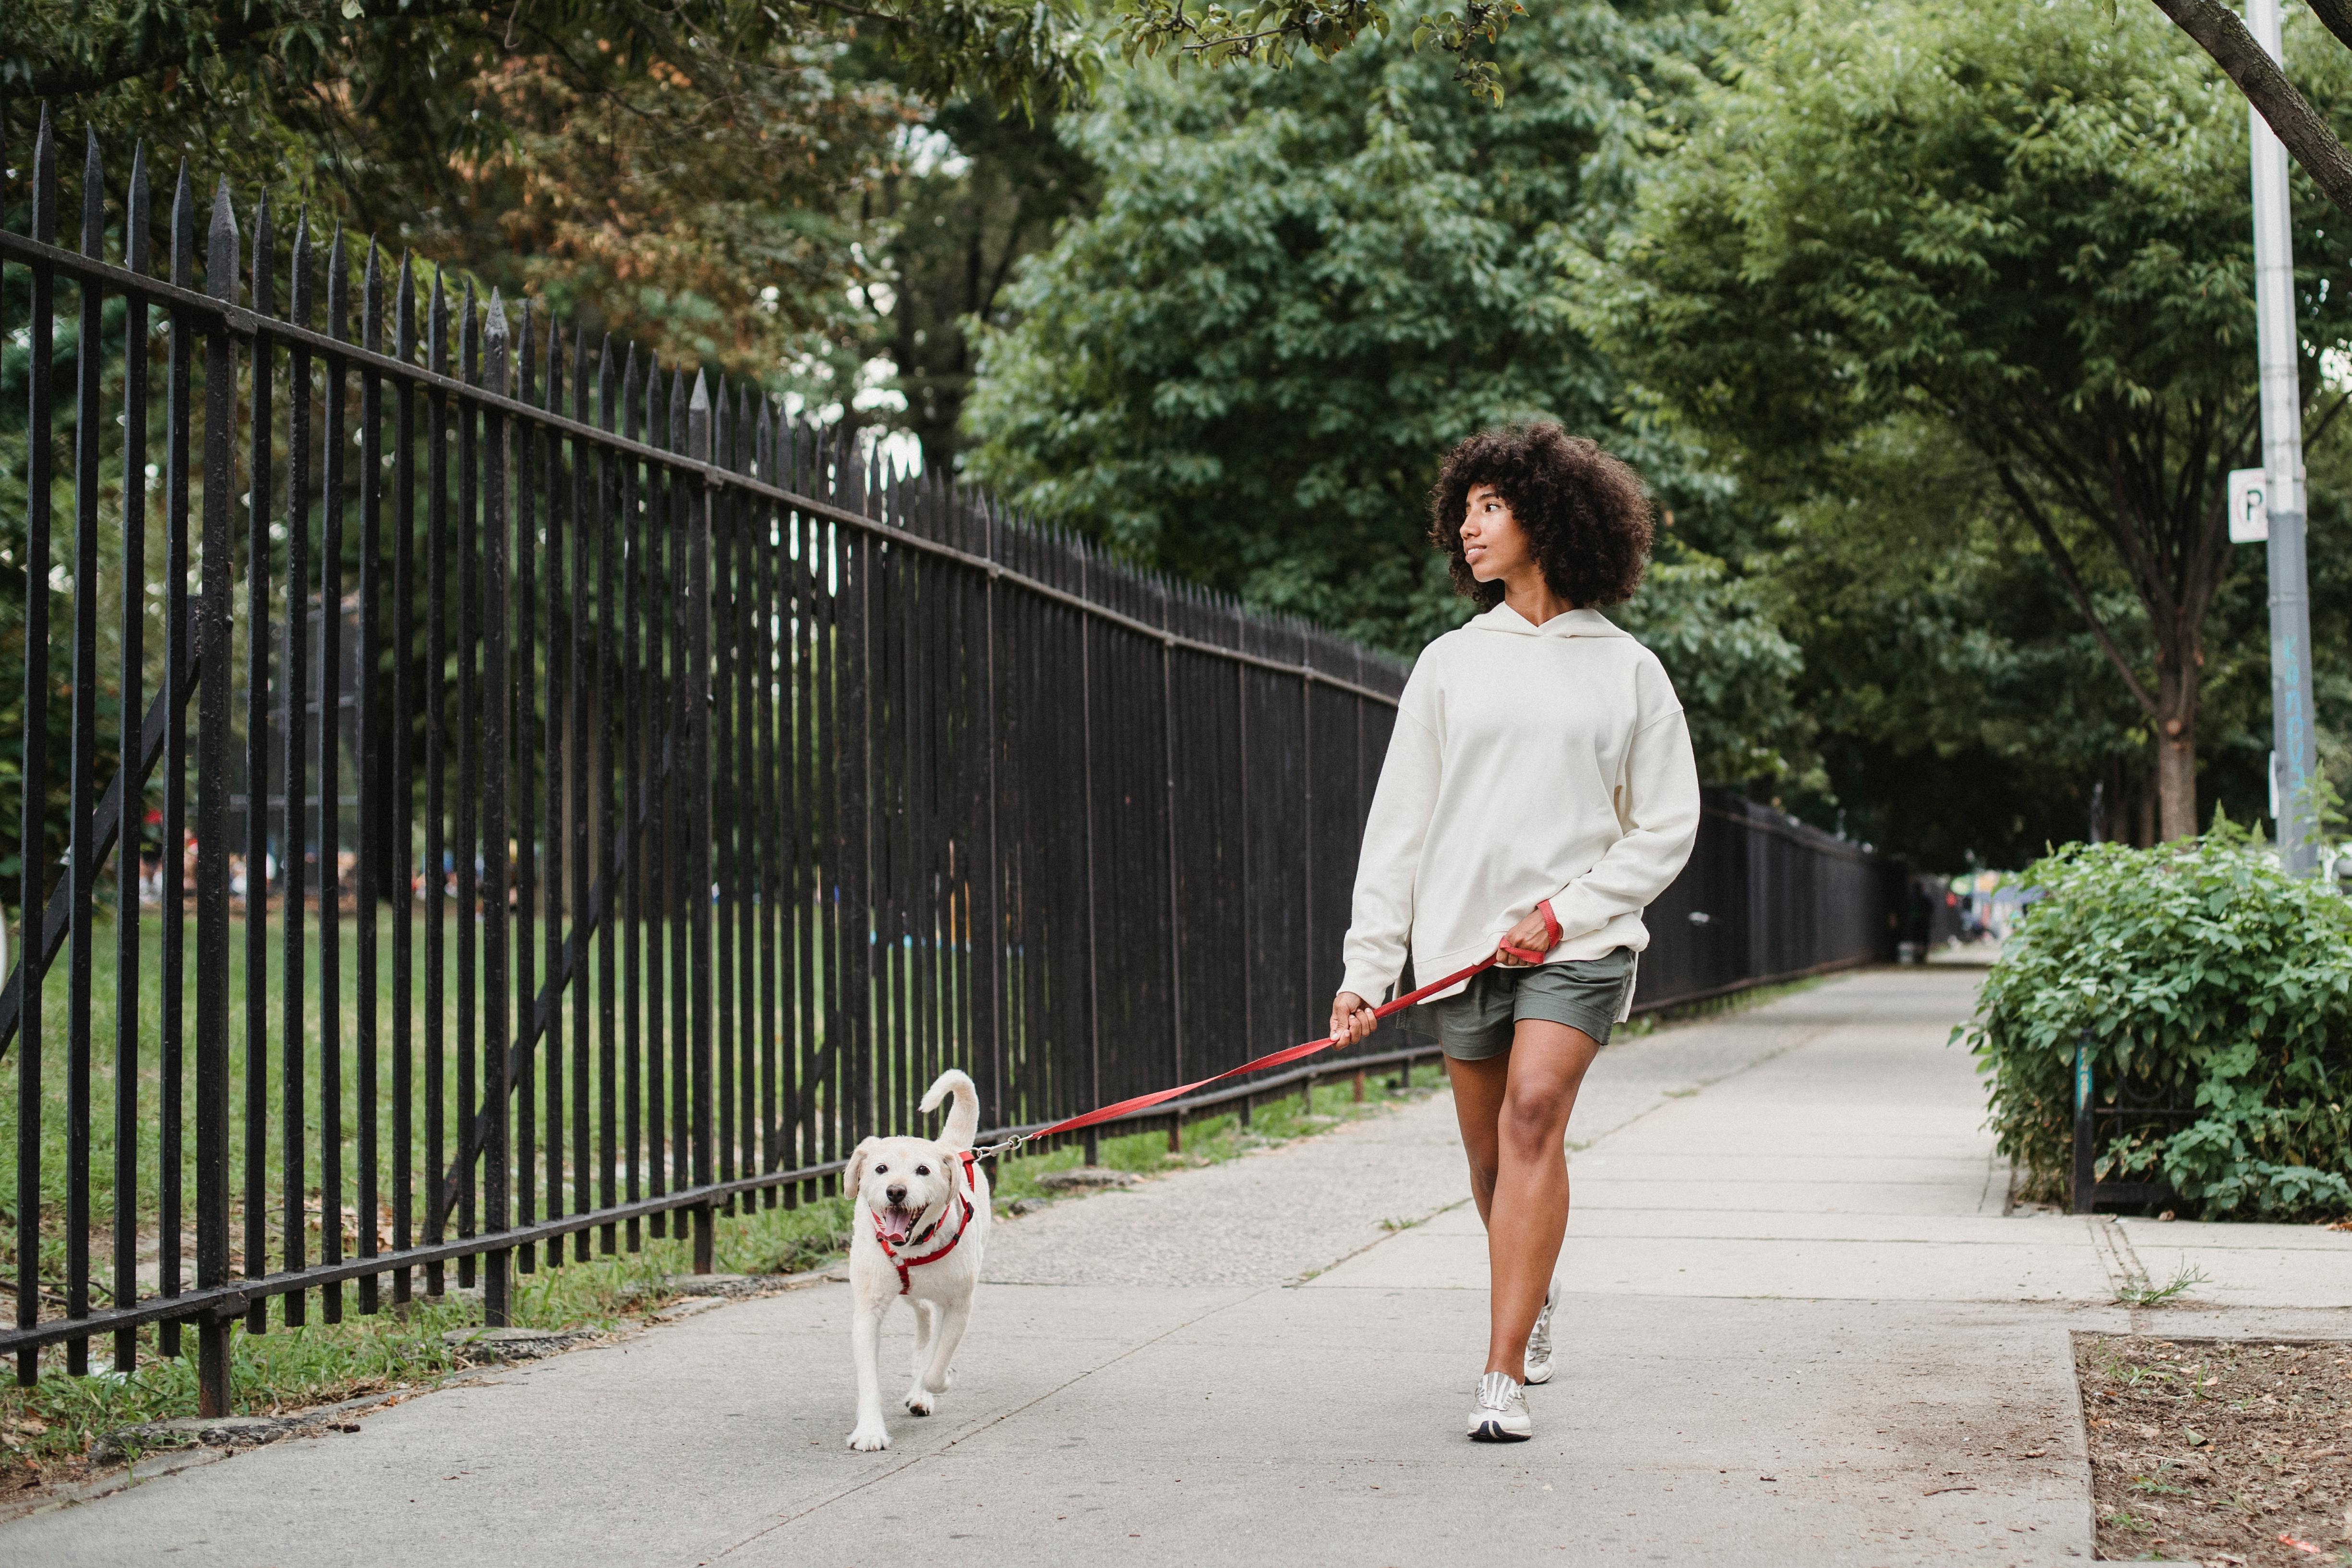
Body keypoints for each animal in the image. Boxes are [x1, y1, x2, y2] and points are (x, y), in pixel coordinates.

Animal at [847, 1072, 992, 1457]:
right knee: (923, 1314)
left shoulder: (958, 1306)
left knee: (931, 1331)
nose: (896, 1191)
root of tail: (952, 1145)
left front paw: (929, 1385)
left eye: (923, 1170)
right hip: (909, 1293)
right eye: (881, 1169)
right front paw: (870, 1430)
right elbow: (868, 1376)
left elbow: (936, 1367)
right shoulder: (867, 1310)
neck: (912, 1248)